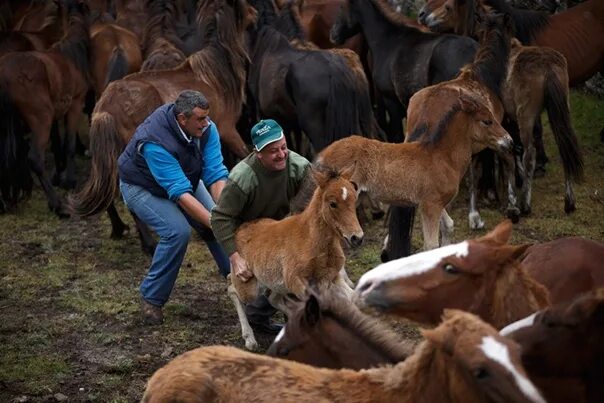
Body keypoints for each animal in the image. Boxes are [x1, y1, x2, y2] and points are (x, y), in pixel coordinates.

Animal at [0, 0, 89, 216]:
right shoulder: (75, 104)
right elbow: (69, 144)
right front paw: (69, 181)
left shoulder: (56, 115)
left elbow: (58, 142)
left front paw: (59, 173)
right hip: (41, 120)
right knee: (35, 158)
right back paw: (56, 204)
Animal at [69, 0, 256, 254]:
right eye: (246, 6)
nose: (256, 15)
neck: (215, 74)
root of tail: (105, 108)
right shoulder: (228, 129)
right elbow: (245, 155)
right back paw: (148, 243)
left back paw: (119, 229)